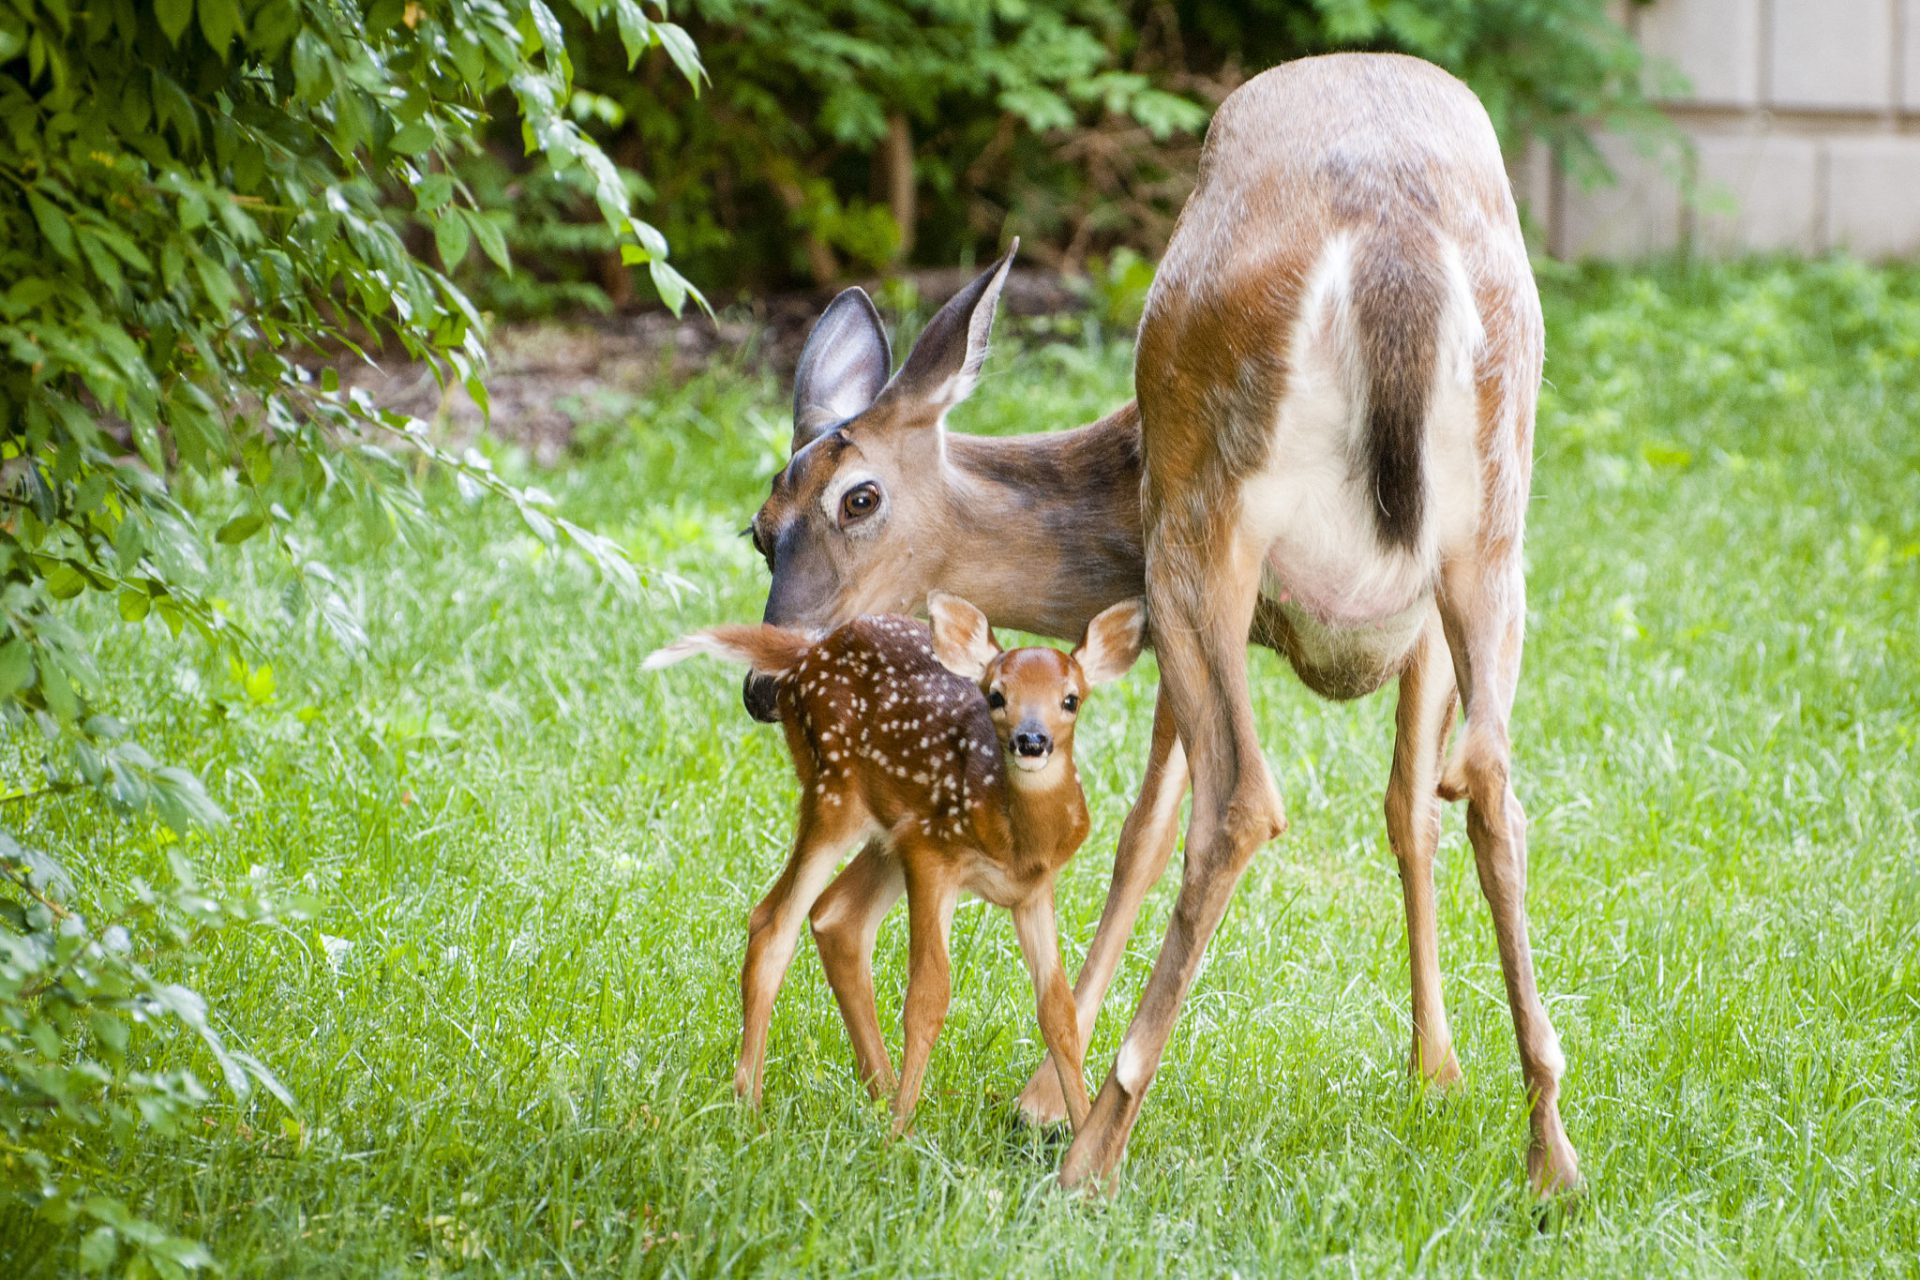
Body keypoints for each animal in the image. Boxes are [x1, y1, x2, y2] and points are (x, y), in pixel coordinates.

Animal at [733, 50, 1574, 1189]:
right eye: (758, 529)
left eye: (857, 497)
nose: (764, 684)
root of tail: (1393, 249)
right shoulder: (1421, 625)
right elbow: (1413, 807)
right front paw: (1436, 1071)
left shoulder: (1156, 587)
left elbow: (1143, 829)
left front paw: (1044, 1097)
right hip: (1492, 526)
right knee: (1491, 784)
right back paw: (1551, 1156)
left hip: (1203, 521)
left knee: (1240, 802)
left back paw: (1093, 1150)